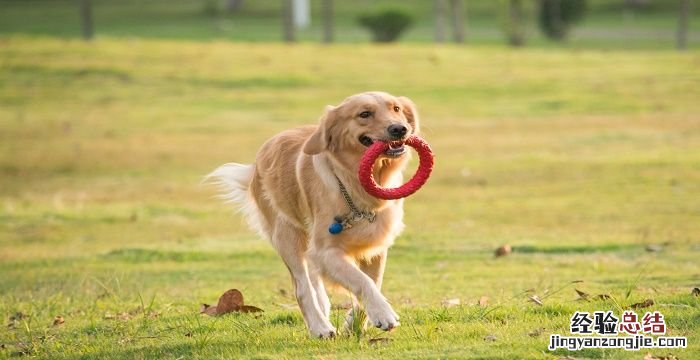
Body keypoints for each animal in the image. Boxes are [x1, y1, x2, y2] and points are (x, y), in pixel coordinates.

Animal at [205, 90, 418, 338]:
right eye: (364, 114)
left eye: (396, 109)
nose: (400, 129)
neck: (352, 183)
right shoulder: (326, 251)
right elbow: (362, 281)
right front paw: (383, 314)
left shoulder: (375, 246)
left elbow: (374, 281)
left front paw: (354, 324)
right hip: (287, 237)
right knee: (302, 287)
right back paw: (319, 326)